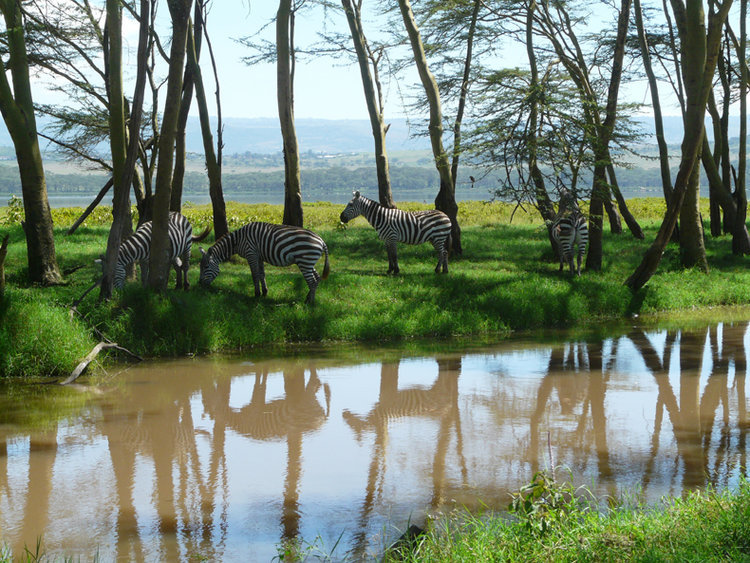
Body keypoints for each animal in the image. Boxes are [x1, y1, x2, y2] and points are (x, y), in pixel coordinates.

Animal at [198, 223, 330, 306]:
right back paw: (308, 299)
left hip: (305, 262)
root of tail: (322, 241)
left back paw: (310, 304)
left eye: (206, 267)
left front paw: (256, 295)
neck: (238, 240)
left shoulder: (251, 254)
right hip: (308, 263)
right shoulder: (259, 256)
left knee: (312, 281)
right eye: (200, 267)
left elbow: (255, 274)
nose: (199, 285)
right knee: (317, 278)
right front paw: (265, 292)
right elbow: (262, 274)